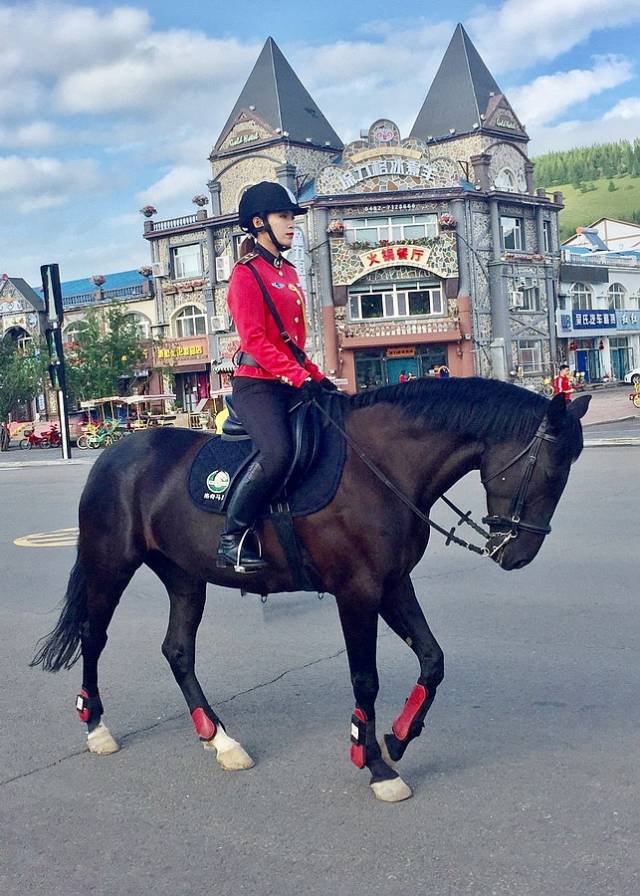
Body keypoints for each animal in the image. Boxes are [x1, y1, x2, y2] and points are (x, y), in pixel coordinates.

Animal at [30, 374, 592, 800]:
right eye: (549, 472)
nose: (517, 555)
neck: (382, 467)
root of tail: (114, 452)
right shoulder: (358, 591)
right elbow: (365, 678)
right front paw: (374, 762)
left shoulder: (394, 583)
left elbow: (433, 661)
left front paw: (397, 739)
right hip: (110, 564)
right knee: (93, 636)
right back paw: (96, 726)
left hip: (185, 576)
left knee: (177, 650)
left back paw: (219, 738)